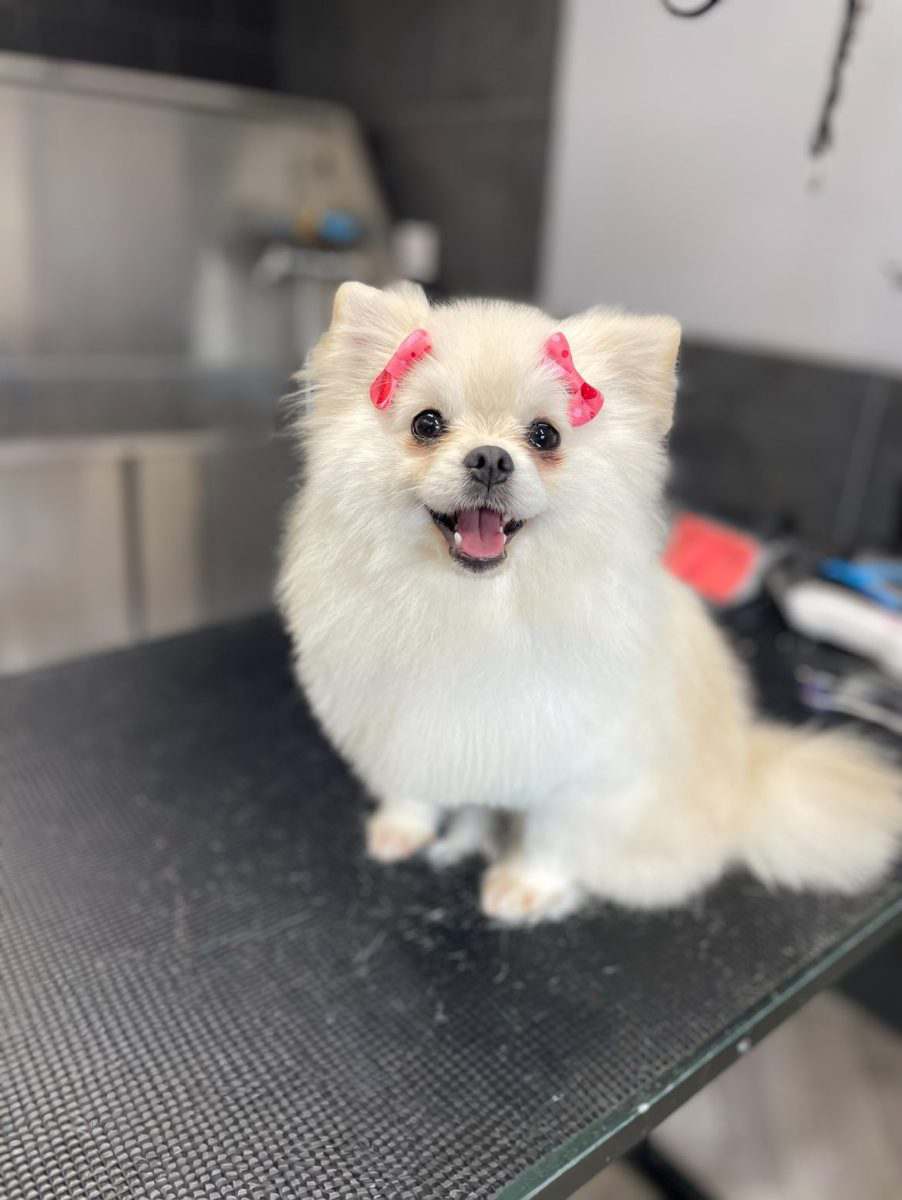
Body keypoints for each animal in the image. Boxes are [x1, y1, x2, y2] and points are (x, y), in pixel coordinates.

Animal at [276, 280, 900, 924]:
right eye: (427, 423)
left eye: (545, 435)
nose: (491, 457)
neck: (478, 604)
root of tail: (747, 776)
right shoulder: (401, 720)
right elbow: (411, 785)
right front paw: (402, 828)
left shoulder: (582, 764)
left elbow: (552, 834)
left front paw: (526, 887)